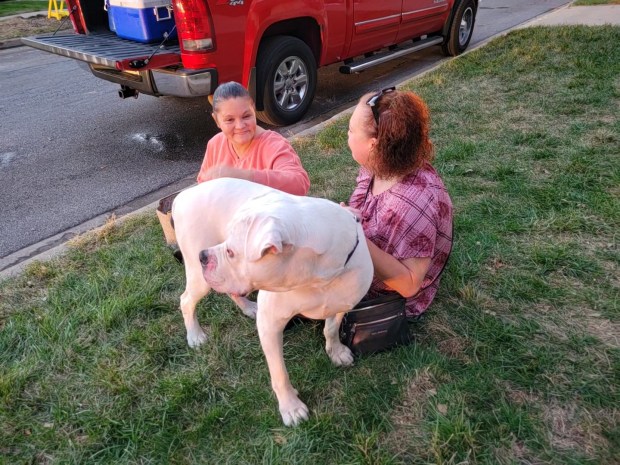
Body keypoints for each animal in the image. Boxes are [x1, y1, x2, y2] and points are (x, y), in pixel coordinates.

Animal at [171, 178, 372, 424]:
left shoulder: (341, 304)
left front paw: (336, 351)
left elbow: (331, 328)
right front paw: (290, 407)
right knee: (186, 301)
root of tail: (184, 195)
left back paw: (248, 307)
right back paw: (195, 335)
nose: (203, 256)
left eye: (230, 251)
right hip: (200, 278)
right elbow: (279, 373)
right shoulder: (270, 325)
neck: (320, 277)